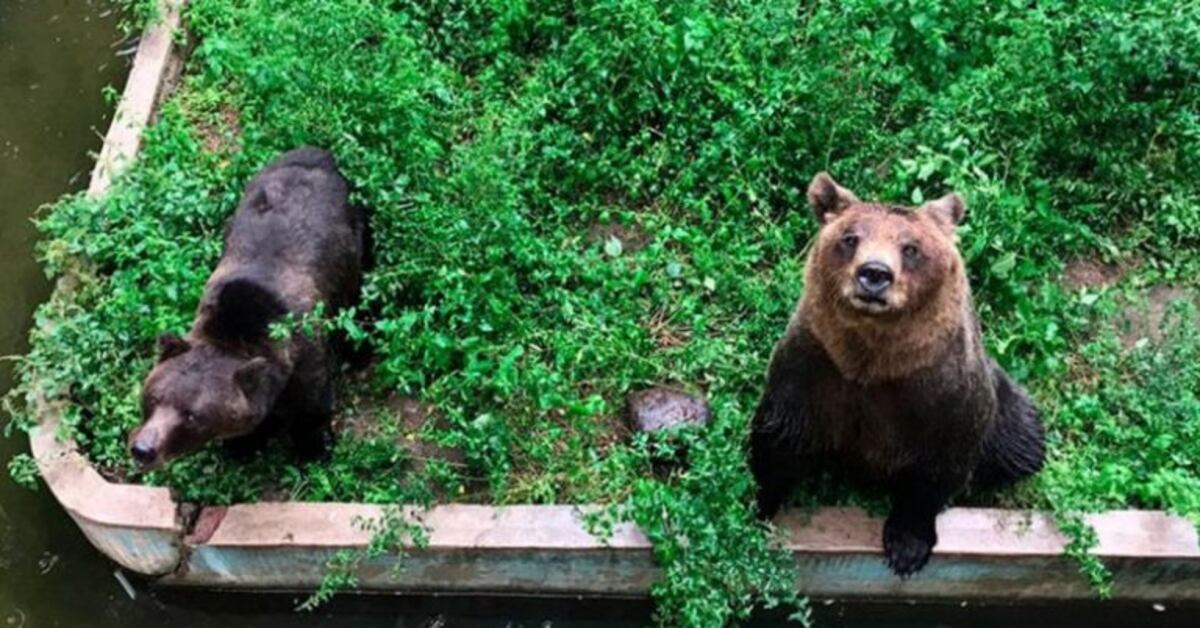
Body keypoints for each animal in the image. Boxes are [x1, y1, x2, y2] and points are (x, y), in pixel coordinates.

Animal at [127, 147, 368, 469]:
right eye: (153, 398)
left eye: (192, 416)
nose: (144, 449)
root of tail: (316, 152)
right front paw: (242, 445)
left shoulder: (305, 353)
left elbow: (312, 406)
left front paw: (313, 449)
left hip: (352, 238)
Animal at [749, 172, 1045, 576]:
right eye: (850, 238)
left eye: (911, 248)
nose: (874, 274)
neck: (875, 360)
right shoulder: (813, 365)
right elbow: (781, 437)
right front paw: (755, 505)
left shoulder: (943, 390)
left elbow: (936, 469)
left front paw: (907, 548)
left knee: (1023, 444)